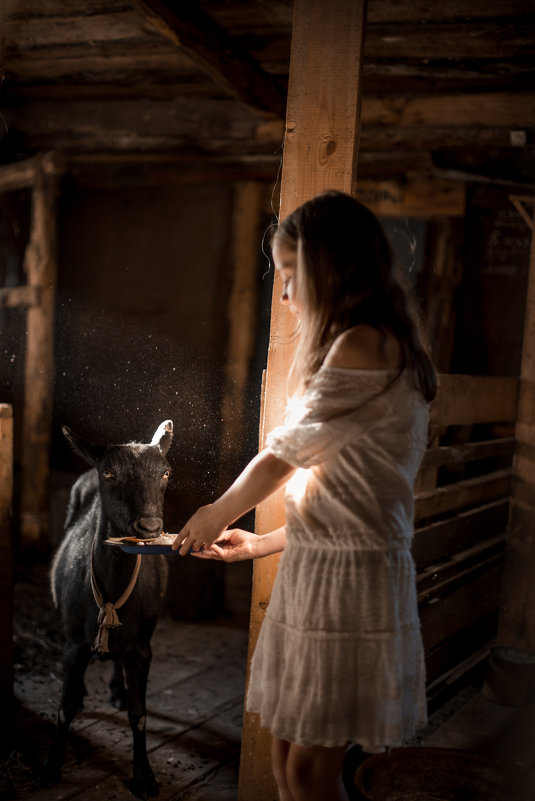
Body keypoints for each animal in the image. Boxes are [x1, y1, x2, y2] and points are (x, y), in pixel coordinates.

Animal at [44, 422, 174, 796]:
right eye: (109, 473)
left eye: (165, 473)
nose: (149, 527)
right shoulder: (74, 641)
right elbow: (64, 708)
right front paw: (52, 767)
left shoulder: (143, 644)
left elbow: (139, 713)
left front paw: (144, 776)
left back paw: (117, 688)